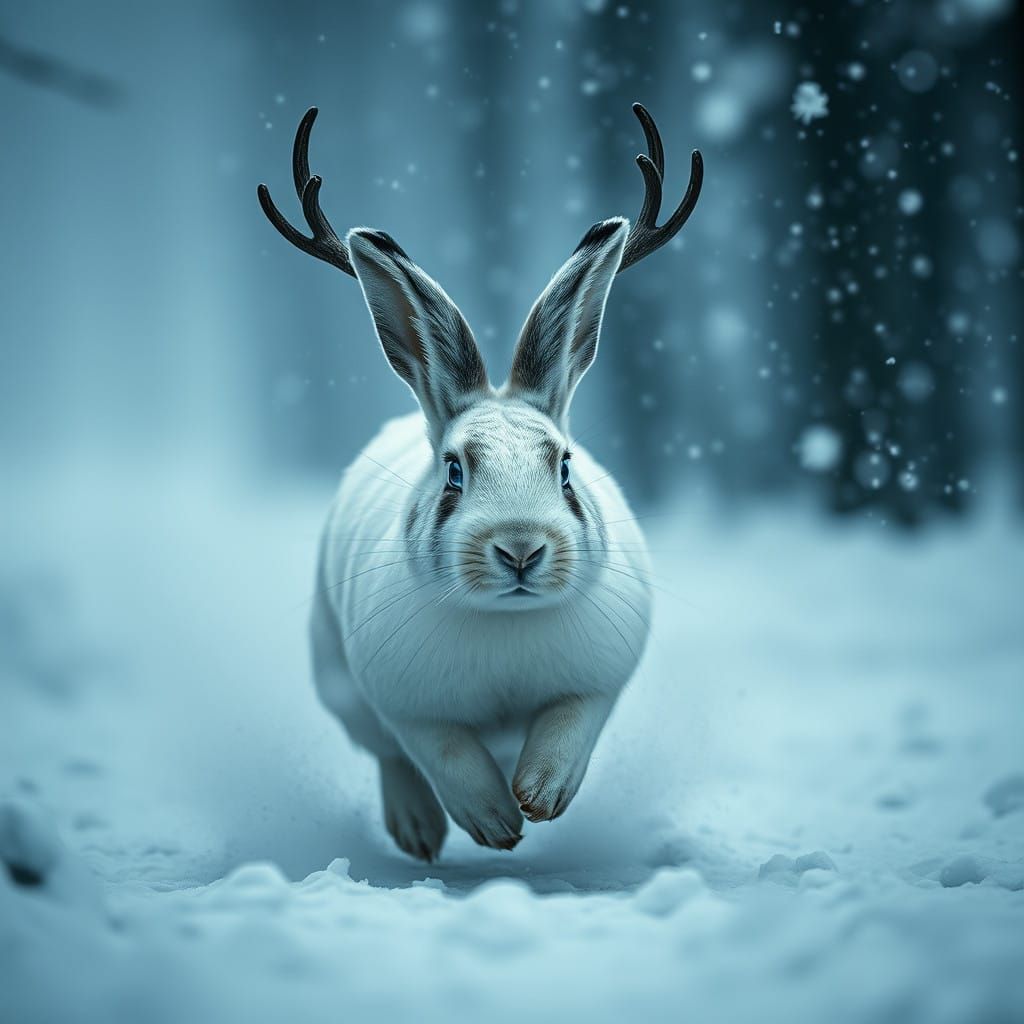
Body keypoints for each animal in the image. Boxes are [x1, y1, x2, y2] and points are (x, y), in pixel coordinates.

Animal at [258, 104, 702, 860]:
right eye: (454, 472)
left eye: (564, 466)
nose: (520, 549)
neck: (506, 622)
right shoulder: (405, 706)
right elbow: (442, 753)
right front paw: (494, 822)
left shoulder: (598, 686)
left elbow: (568, 727)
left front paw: (540, 796)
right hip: (341, 688)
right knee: (388, 756)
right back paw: (416, 834)